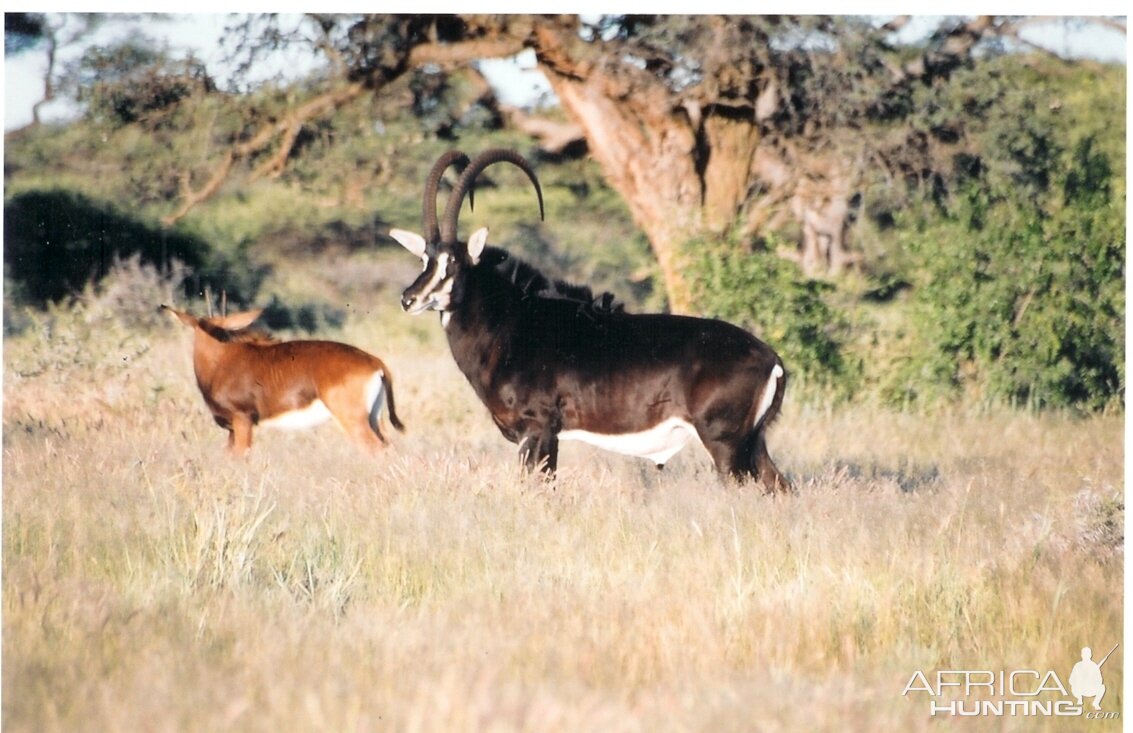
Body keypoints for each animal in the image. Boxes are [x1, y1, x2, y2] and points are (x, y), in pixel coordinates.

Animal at [162, 305, 405, 455]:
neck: (222, 359)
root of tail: (375, 363)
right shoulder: (232, 429)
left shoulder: (242, 421)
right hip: (373, 419)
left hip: (354, 421)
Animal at [389, 149, 788, 493]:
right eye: (424, 259)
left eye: (453, 262)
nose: (409, 298)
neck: (511, 324)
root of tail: (773, 360)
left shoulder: (539, 429)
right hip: (753, 444)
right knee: (779, 486)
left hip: (725, 444)